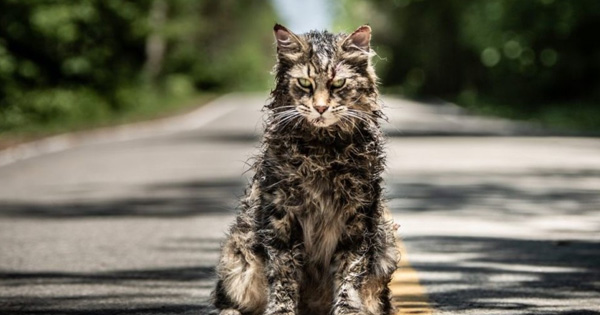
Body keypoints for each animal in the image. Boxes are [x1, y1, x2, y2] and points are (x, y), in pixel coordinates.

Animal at [211, 24, 398, 315]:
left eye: (338, 84)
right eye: (305, 84)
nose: (320, 107)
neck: (322, 152)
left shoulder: (357, 218)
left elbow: (349, 275)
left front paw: (347, 309)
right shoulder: (281, 217)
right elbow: (283, 278)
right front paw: (282, 311)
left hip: (385, 243)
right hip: (237, 256)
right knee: (227, 300)